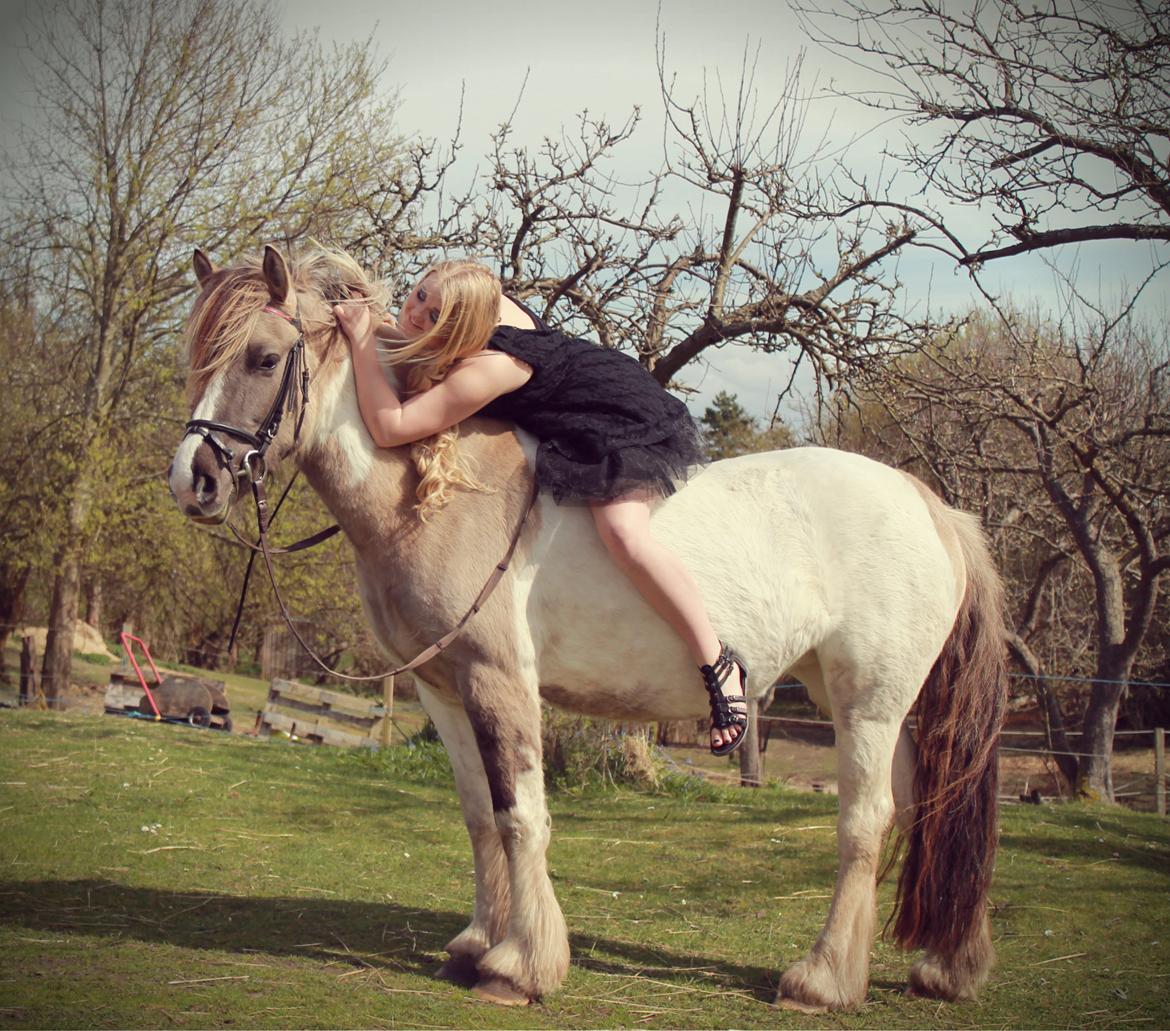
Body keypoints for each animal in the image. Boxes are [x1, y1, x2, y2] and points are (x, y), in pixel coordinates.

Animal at [164, 245, 1006, 1011]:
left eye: (263, 357)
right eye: (194, 357)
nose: (191, 480)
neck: (439, 490)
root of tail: (931, 505)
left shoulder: (500, 680)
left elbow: (521, 815)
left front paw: (519, 966)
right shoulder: (443, 687)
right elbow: (479, 814)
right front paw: (477, 942)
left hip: (868, 705)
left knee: (864, 824)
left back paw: (821, 980)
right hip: (872, 706)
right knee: (924, 811)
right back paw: (941, 965)